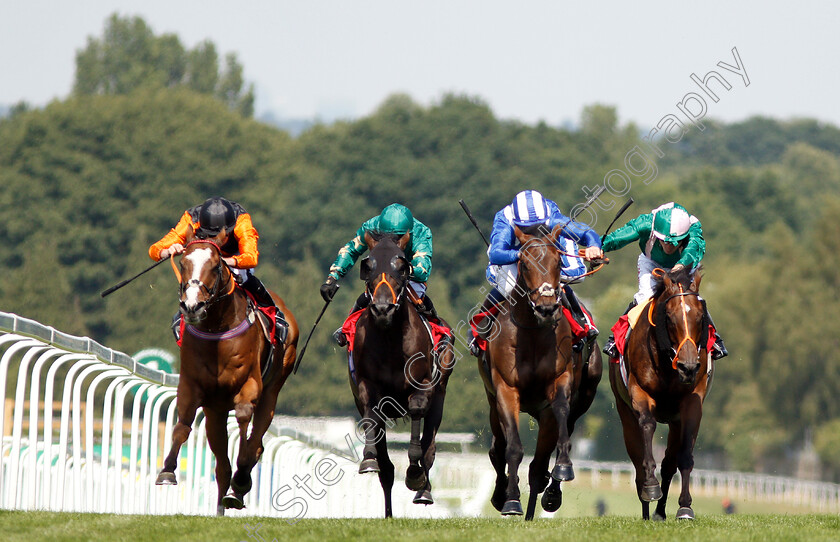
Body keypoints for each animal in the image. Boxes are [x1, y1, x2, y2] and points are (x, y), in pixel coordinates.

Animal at [154, 236, 298, 516]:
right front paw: (167, 471)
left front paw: (241, 481)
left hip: (273, 389)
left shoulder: (250, 385)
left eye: (214, 266)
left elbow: (243, 422)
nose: (192, 306)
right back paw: (222, 505)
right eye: (183, 263)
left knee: (256, 440)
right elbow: (182, 425)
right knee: (222, 467)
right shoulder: (192, 386)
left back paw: (239, 485)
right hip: (216, 411)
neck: (217, 330)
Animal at [348, 232, 452, 520]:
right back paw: (388, 512)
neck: (389, 339)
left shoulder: (423, 385)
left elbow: (417, 414)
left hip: (440, 397)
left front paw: (415, 473)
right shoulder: (366, 384)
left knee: (430, 447)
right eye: (368, 265)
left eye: (402, 266)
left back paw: (424, 489)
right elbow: (371, 412)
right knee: (386, 469)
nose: (382, 308)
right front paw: (368, 458)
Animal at [480, 225, 604, 524]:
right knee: (498, 449)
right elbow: (512, 447)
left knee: (540, 462)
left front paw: (563, 468)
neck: (533, 334)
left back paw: (547, 496)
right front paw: (511, 500)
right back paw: (502, 496)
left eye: (558, 262)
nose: (547, 307)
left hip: (583, 396)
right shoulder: (505, 390)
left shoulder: (559, 385)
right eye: (524, 264)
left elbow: (560, 415)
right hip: (492, 403)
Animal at [608, 268, 712, 524]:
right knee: (637, 460)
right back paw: (647, 506)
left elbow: (683, 456)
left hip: (674, 420)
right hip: (624, 412)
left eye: (699, 317)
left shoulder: (692, 402)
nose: (688, 367)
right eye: (670, 317)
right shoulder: (639, 393)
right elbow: (647, 426)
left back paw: (660, 511)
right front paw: (650, 486)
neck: (667, 362)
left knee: (669, 463)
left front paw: (685, 507)